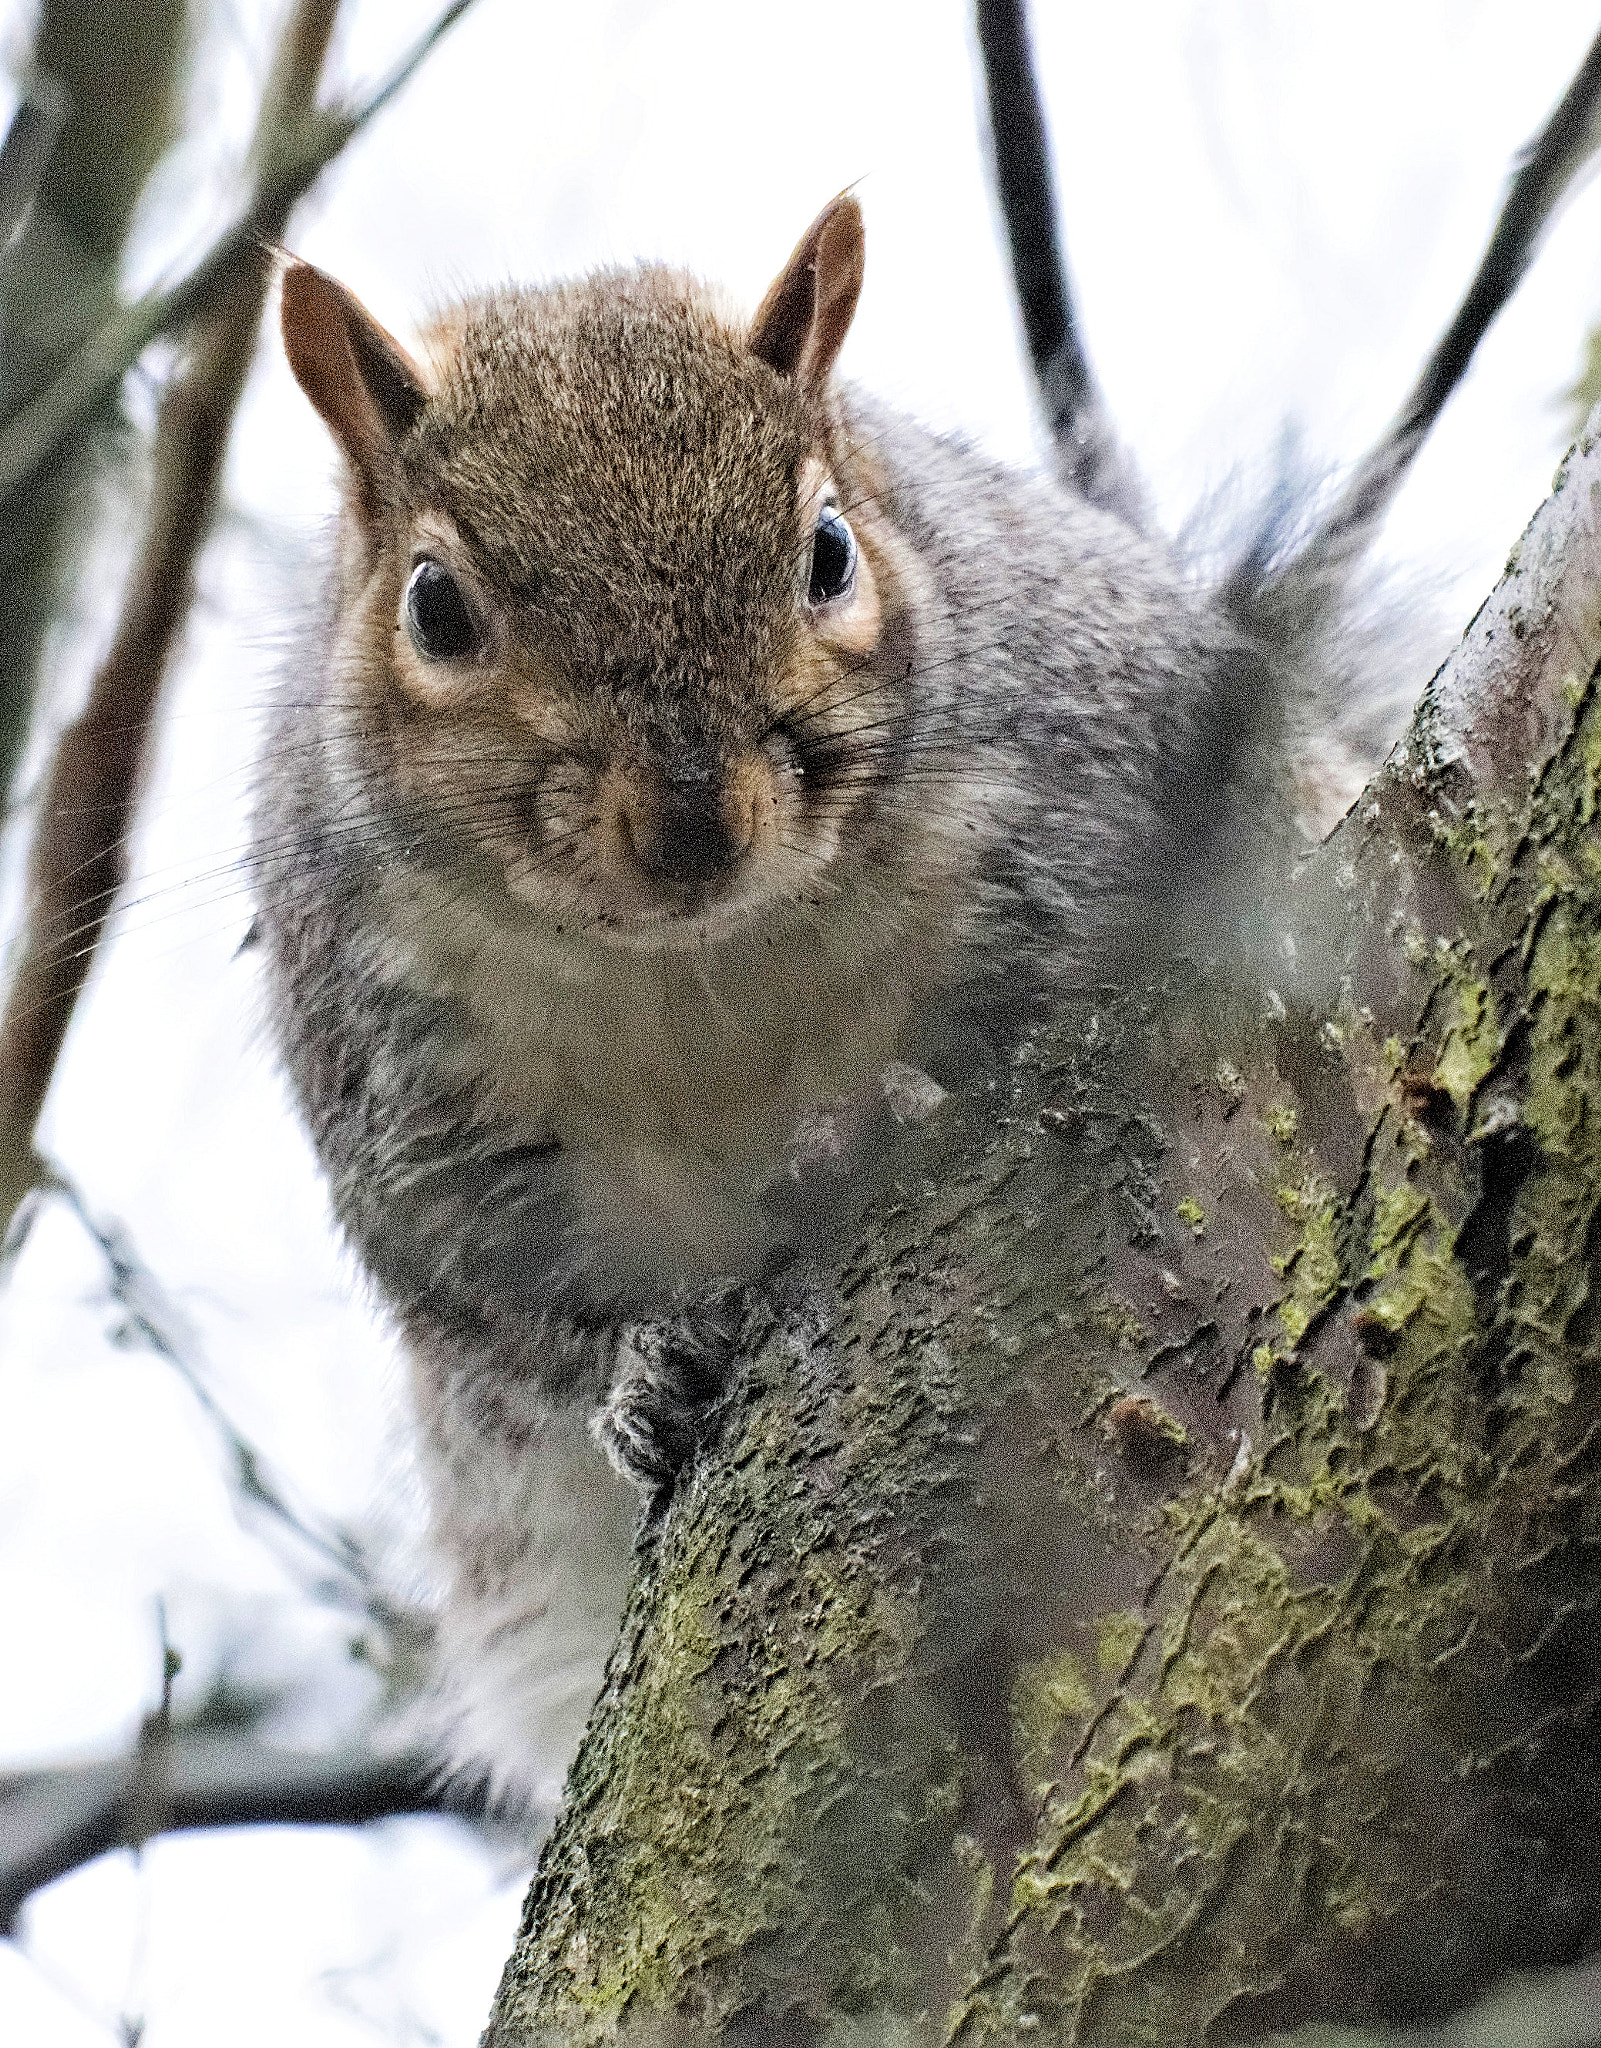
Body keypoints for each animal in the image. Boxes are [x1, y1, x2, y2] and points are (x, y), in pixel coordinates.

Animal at [257, 195, 1377, 1809]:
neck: (695, 965)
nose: (689, 823)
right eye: (435, 606)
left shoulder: (1133, 773)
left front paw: (887, 1109)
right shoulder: (395, 1076)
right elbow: (507, 1290)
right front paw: (646, 1377)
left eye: (829, 552)